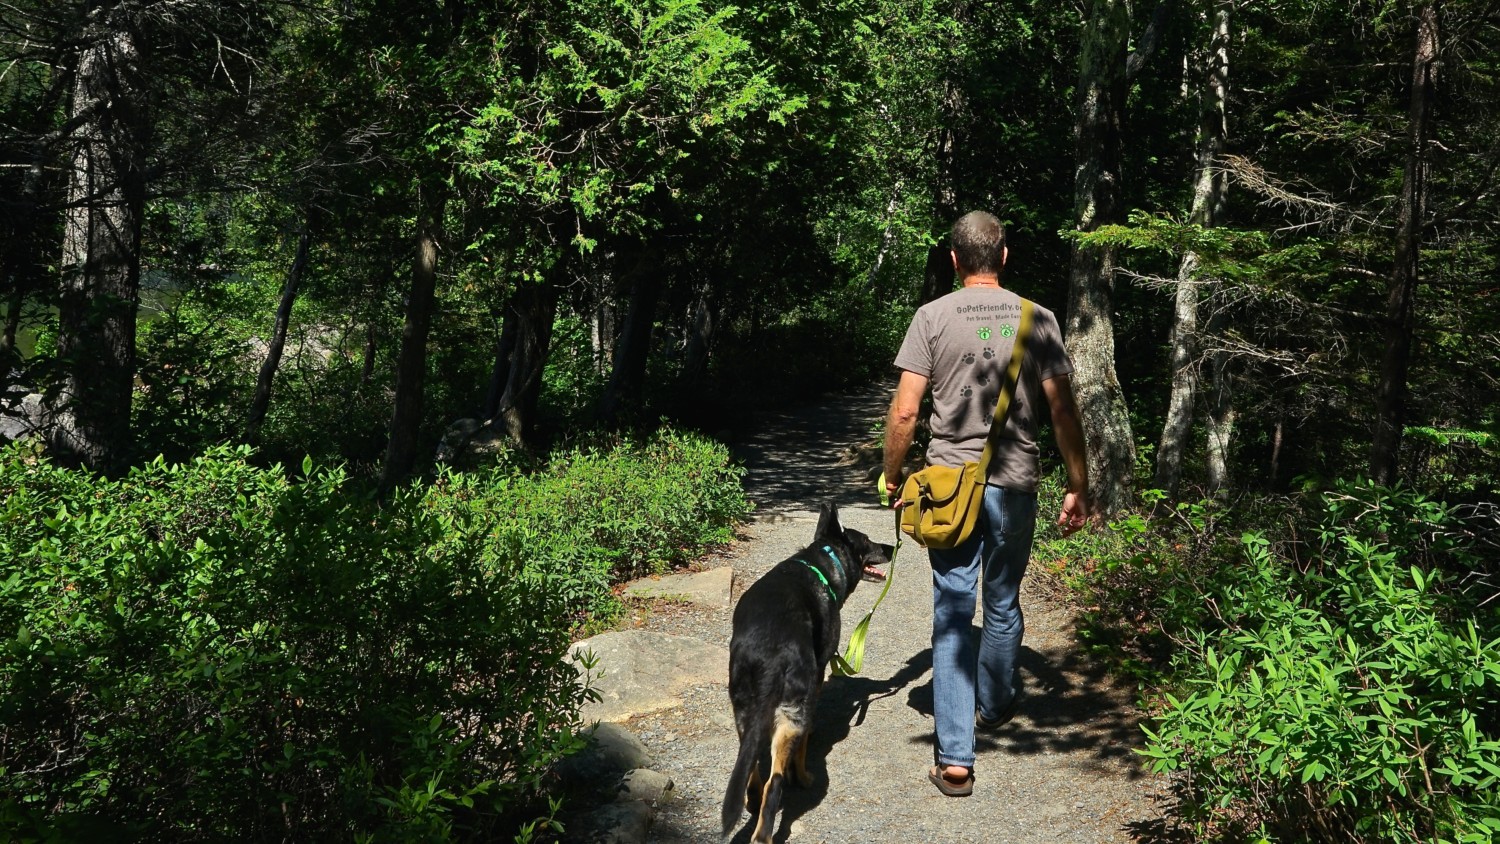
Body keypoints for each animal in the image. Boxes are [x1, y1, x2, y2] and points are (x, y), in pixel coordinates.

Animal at [717, 506, 882, 839]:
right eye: (868, 542)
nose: (889, 548)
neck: (823, 563)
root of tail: (770, 655)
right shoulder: (817, 676)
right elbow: (805, 740)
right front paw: (803, 774)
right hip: (790, 717)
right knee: (775, 782)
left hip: (744, 712)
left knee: (752, 770)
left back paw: (752, 801)